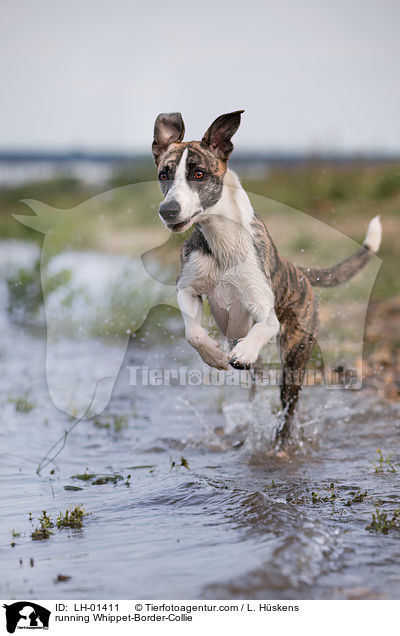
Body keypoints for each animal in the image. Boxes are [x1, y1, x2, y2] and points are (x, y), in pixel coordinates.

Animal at [152, 112, 382, 440]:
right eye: (163, 175)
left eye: (198, 174)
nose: (168, 210)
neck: (221, 238)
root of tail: (300, 272)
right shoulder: (187, 288)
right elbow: (192, 332)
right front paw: (213, 356)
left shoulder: (263, 307)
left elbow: (263, 326)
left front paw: (245, 350)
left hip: (295, 359)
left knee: (288, 407)